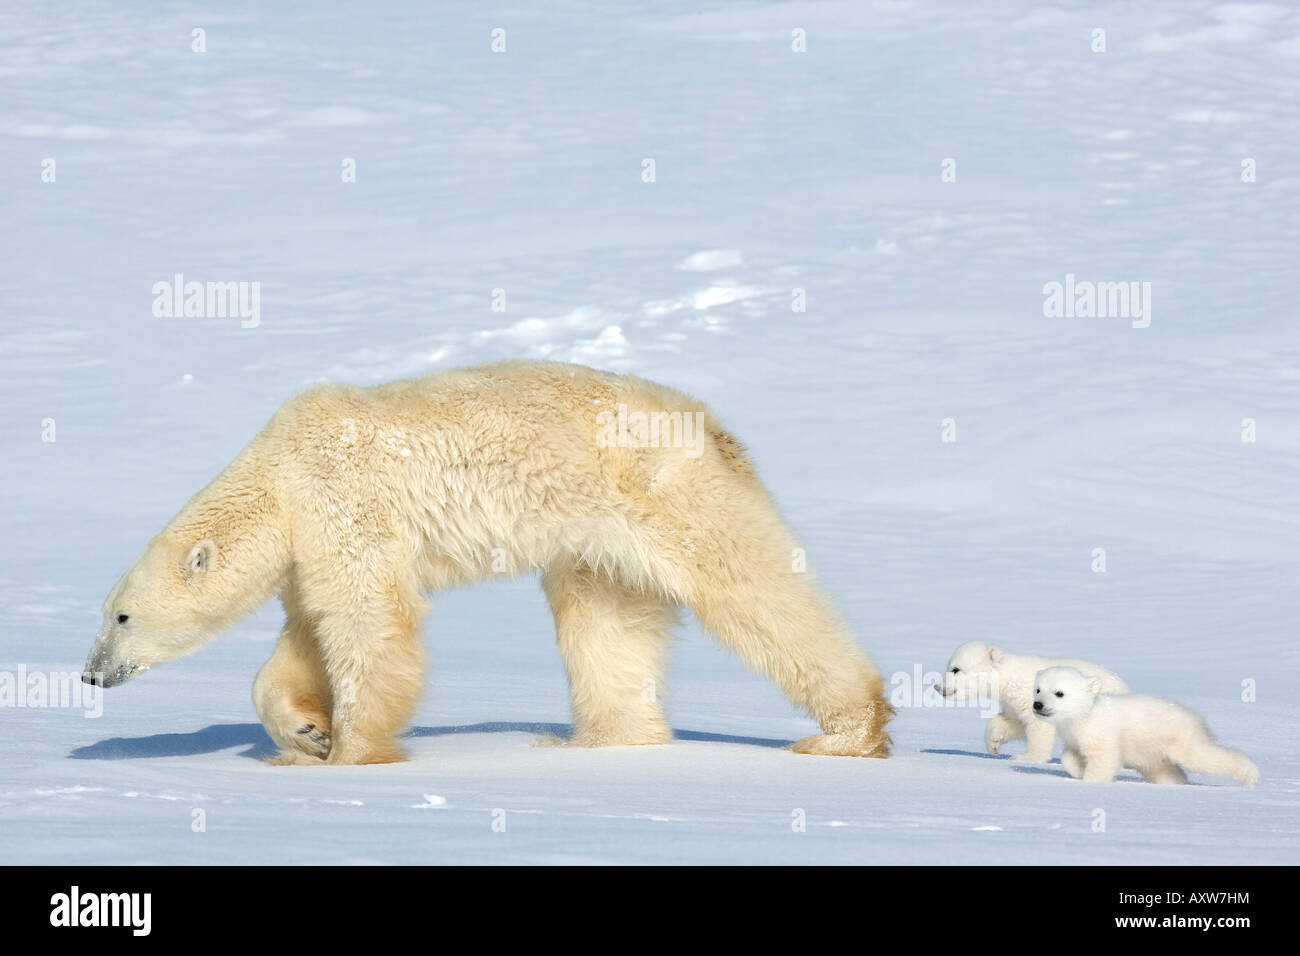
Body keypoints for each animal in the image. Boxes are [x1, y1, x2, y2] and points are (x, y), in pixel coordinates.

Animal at [83, 361, 894, 764]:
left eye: (121, 615)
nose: (90, 675)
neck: (278, 474)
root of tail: (718, 429)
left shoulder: (342, 497)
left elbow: (370, 620)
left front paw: (354, 752)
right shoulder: (309, 546)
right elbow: (308, 635)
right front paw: (305, 735)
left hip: (666, 493)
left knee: (752, 588)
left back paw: (845, 731)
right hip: (598, 543)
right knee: (605, 625)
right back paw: (595, 741)